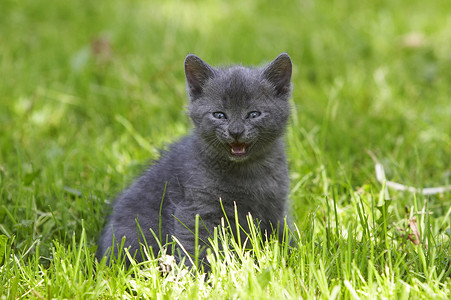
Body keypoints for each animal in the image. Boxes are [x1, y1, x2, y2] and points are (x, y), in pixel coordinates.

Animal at [98, 53, 294, 268]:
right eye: (219, 115)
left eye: (253, 114)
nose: (236, 131)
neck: (248, 171)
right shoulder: (197, 208)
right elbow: (198, 245)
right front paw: (201, 274)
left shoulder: (275, 207)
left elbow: (281, 234)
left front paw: (288, 255)